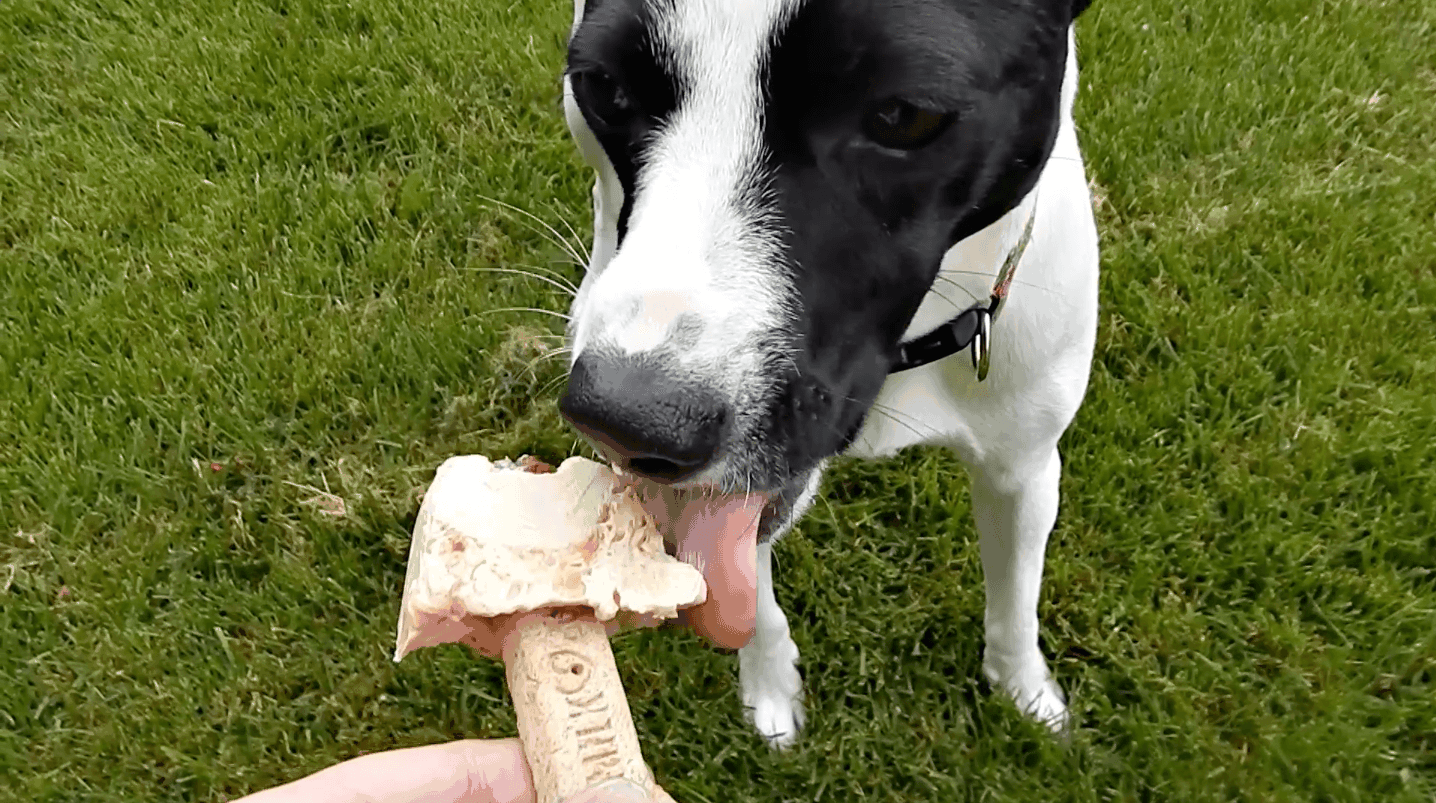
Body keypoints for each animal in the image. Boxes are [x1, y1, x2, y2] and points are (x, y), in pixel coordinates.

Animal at [554, 0, 1091, 746]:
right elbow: (751, 595)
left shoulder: (1024, 465)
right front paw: (771, 690)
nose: (627, 424)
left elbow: (1015, 599)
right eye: (603, 86)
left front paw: (1025, 691)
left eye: (904, 116)